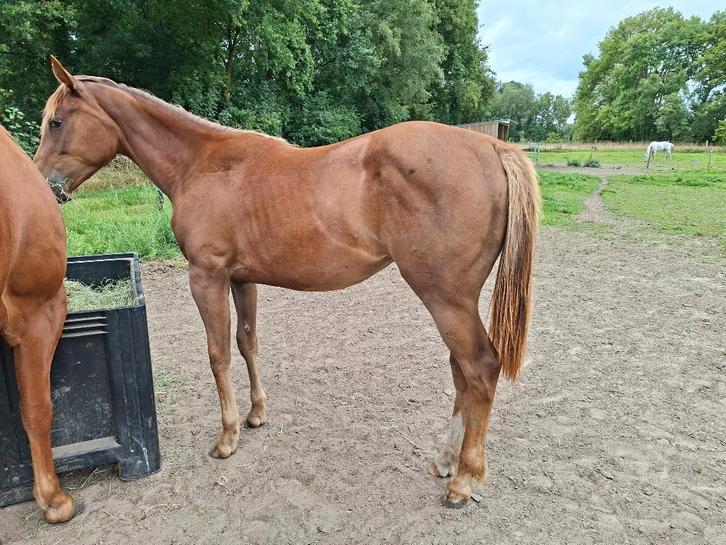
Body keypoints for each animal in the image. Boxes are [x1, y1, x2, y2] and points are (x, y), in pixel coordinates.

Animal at [35, 56, 541, 507]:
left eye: (56, 122)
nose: (45, 187)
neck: (202, 163)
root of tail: (491, 148)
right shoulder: (241, 280)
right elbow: (247, 342)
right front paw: (257, 414)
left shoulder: (207, 277)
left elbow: (218, 354)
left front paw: (227, 437)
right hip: (454, 301)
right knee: (461, 372)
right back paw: (446, 461)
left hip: (445, 298)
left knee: (479, 369)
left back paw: (463, 481)